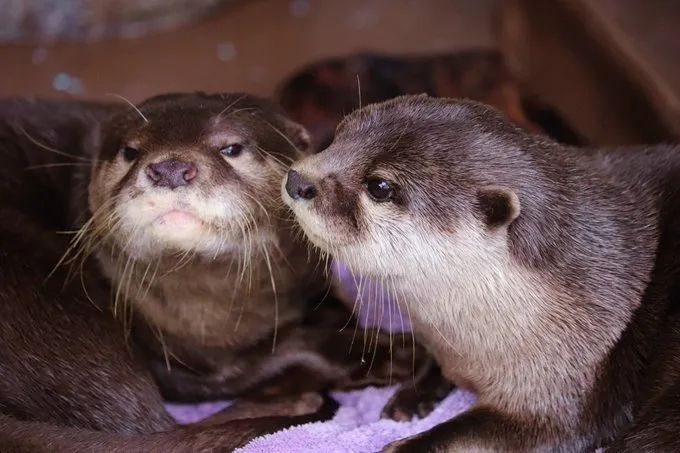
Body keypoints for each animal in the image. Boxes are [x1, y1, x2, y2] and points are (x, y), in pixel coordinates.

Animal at [0, 93, 420, 450]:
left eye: (230, 148)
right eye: (130, 151)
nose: (170, 167)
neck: (222, 321)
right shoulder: (175, 360)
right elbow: (258, 364)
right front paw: (386, 350)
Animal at [284, 93, 680, 450]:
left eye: (380, 186)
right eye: (340, 132)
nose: (295, 179)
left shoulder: (568, 388)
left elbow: (469, 435)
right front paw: (411, 396)